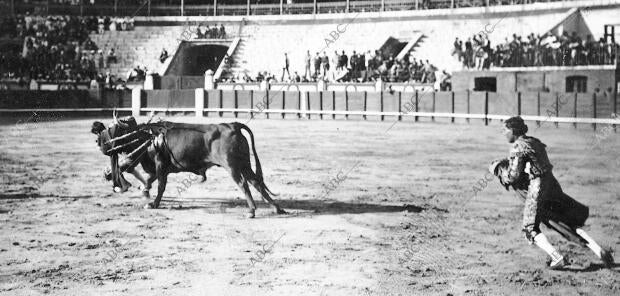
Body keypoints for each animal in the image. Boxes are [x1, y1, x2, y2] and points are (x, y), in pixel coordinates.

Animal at [91, 114, 286, 219]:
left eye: (111, 130)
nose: (98, 142)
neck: (147, 137)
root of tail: (232, 125)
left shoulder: (160, 165)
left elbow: (160, 185)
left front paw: (153, 204)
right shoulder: (156, 167)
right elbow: (149, 179)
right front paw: (144, 191)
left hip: (232, 167)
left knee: (244, 184)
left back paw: (251, 211)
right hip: (244, 163)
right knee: (257, 182)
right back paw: (277, 208)